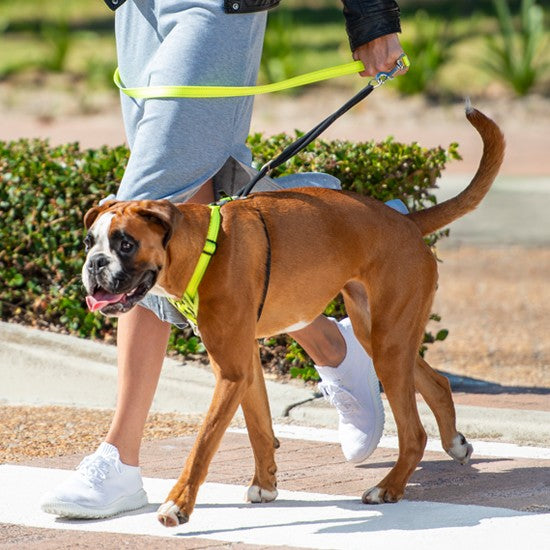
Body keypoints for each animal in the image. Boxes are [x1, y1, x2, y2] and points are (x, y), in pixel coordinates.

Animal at [83, 106, 508, 528]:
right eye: (89, 242)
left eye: (125, 243)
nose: (95, 264)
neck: (205, 248)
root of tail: (405, 220)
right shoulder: (244, 366)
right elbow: (258, 426)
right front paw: (265, 484)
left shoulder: (231, 371)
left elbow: (204, 442)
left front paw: (177, 504)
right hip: (381, 335)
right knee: (436, 382)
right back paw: (453, 444)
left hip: (389, 341)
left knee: (415, 432)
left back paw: (388, 487)